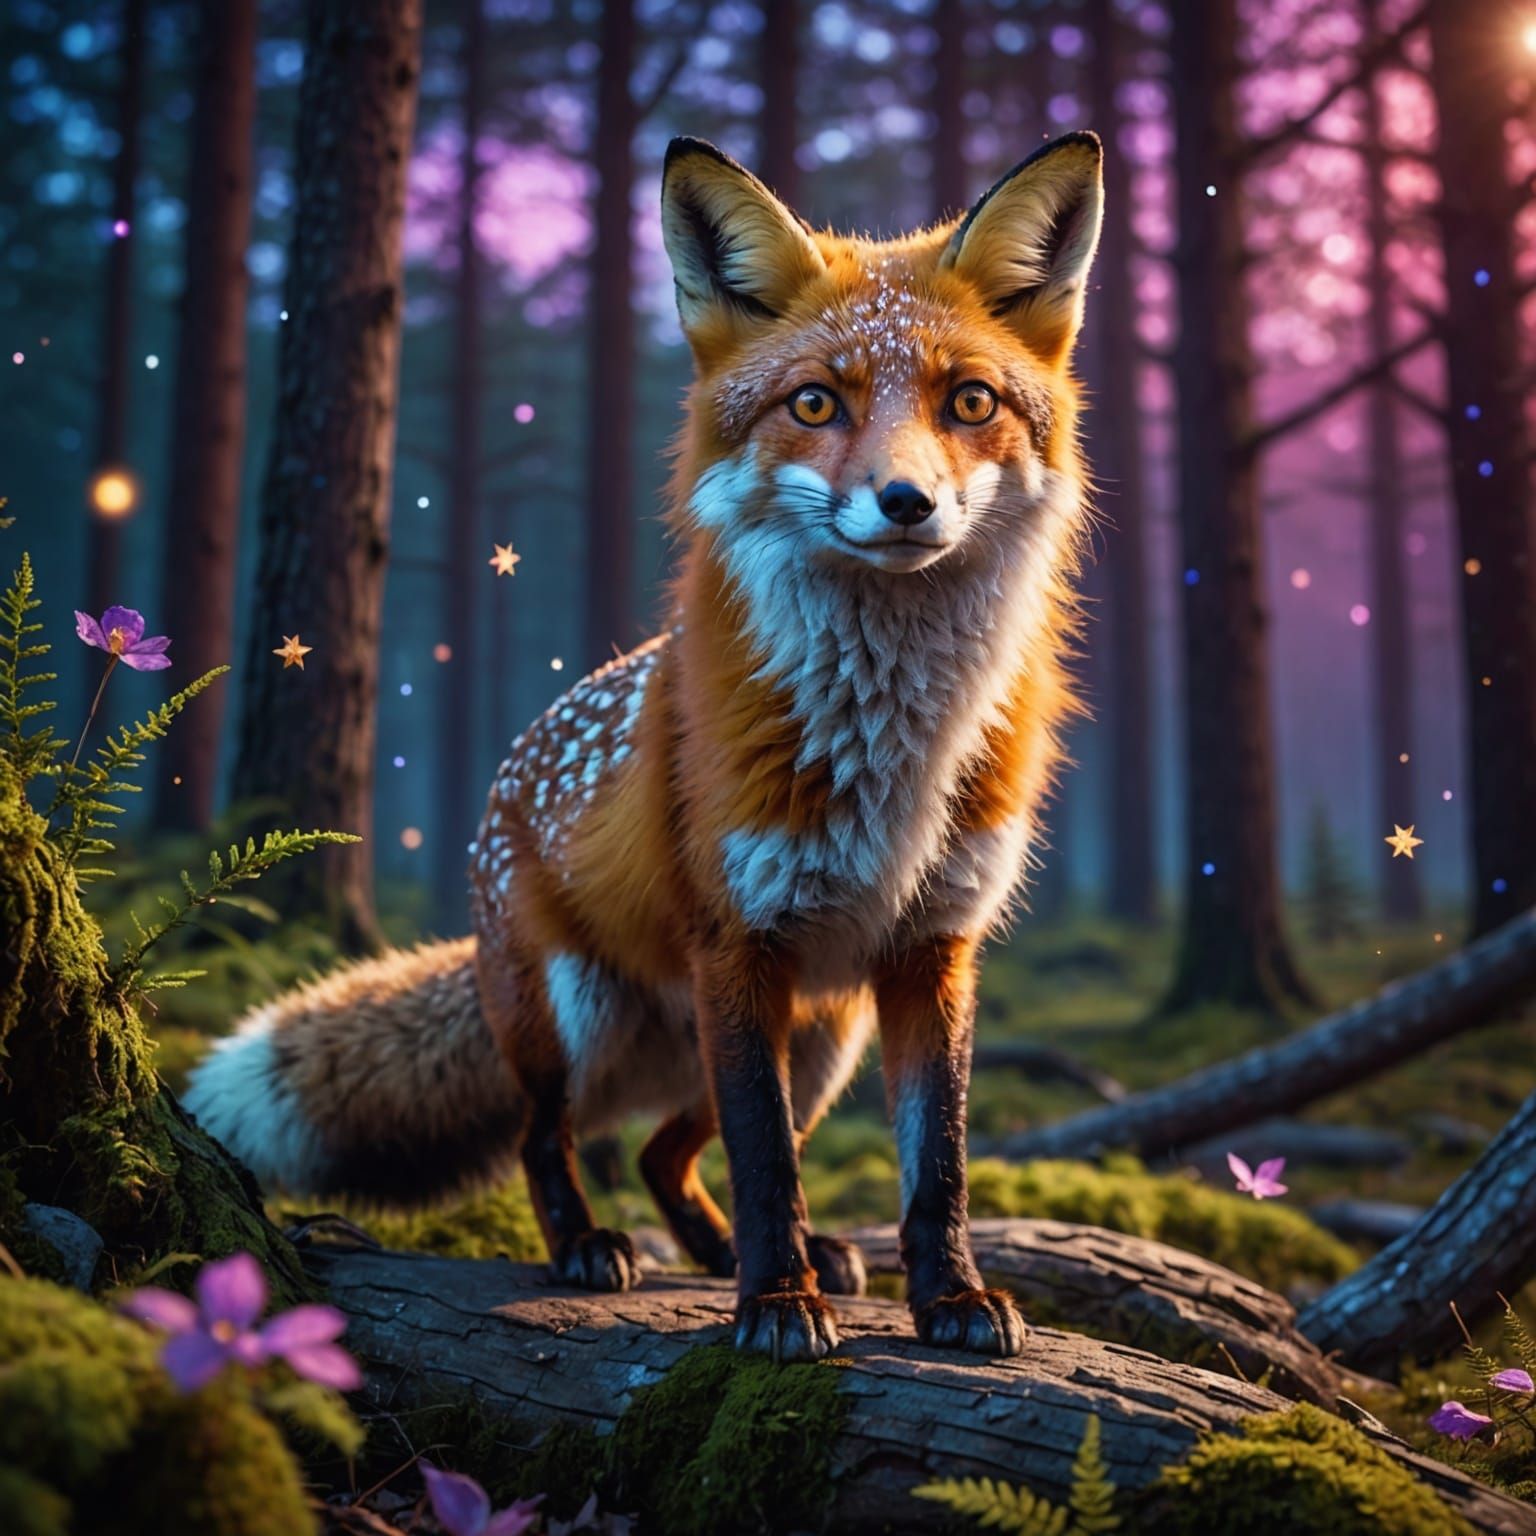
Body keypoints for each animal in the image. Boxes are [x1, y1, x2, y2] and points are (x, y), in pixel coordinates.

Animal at [186, 130, 1103, 1363]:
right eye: (816, 402)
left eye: (969, 401)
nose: (906, 503)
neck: (892, 748)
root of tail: (495, 808)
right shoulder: (737, 940)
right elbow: (766, 1164)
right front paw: (776, 1309)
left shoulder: (932, 950)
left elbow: (938, 1164)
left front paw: (948, 1295)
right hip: (585, 1015)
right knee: (554, 1137)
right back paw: (591, 1245)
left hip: (821, 1037)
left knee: (668, 1151)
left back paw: (742, 1252)